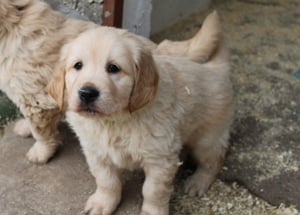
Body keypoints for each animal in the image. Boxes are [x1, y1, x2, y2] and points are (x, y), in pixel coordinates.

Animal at [48, 12, 233, 215]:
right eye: (78, 65)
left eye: (113, 68)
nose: (87, 93)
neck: (114, 122)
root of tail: (216, 69)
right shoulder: (96, 152)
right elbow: (106, 181)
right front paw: (103, 202)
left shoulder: (160, 159)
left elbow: (153, 190)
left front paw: (153, 211)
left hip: (207, 138)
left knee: (214, 159)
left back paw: (198, 182)